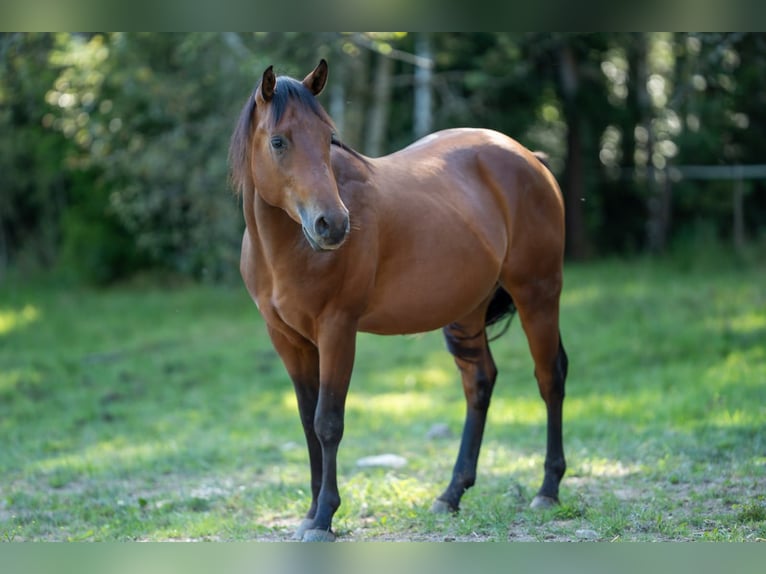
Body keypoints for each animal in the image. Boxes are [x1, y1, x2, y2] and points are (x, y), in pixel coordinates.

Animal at [228, 60, 568, 544]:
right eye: (278, 141)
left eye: (327, 138)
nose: (333, 224)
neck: (286, 249)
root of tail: (528, 158)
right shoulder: (288, 341)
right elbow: (307, 423)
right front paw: (310, 514)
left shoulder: (337, 331)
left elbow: (328, 423)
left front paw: (325, 517)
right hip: (467, 313)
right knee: (479, 383)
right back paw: (451, 494)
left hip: (538, 293)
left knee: (549, 378)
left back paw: (547, 489)